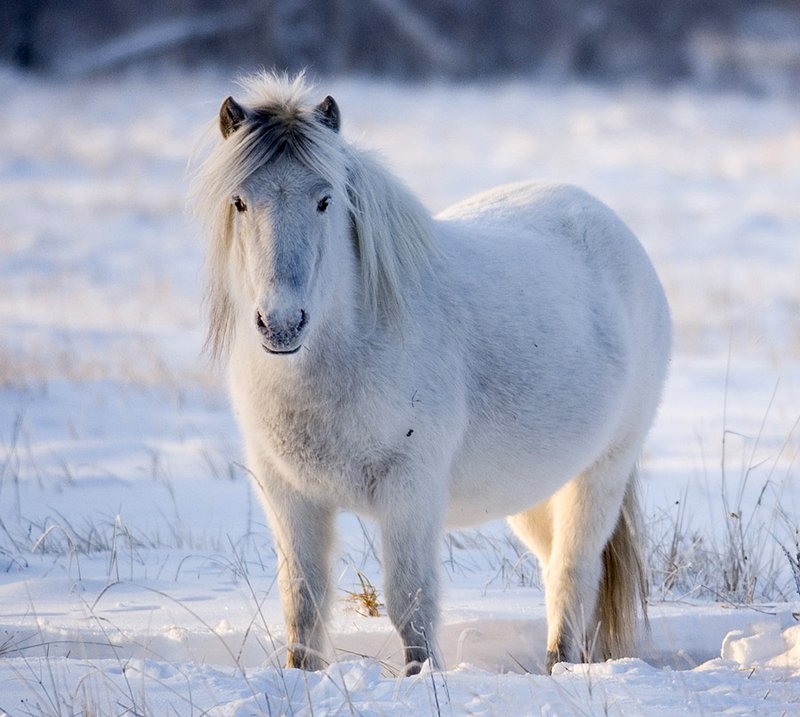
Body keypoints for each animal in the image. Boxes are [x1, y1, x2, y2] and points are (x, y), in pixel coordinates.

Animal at [191, 74, 672, 676]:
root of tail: (608, 225)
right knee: (556, 569)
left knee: (573, 576)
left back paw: (560, 665)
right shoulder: (289, 495)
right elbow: (303, 603)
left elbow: (410, 605)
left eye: (325, 200)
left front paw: (423, 679)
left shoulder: (410, 491)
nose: (281, 323)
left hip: (601, 472)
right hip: (539, 492)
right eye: (239, 201)